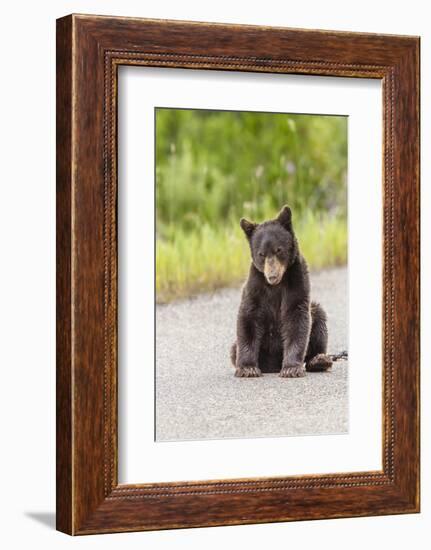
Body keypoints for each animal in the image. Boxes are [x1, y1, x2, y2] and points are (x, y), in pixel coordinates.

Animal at [231, 207, 332, 380]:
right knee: (233, 349)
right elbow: (248, 318)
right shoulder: (255, 287)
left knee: (318, 318)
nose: (272, 275)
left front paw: (291, 368)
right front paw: (247, 368)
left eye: (278, 250)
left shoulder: (296, 282)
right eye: (261, 254)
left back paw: (319, 360)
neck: (275, 286)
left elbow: (296, 318)